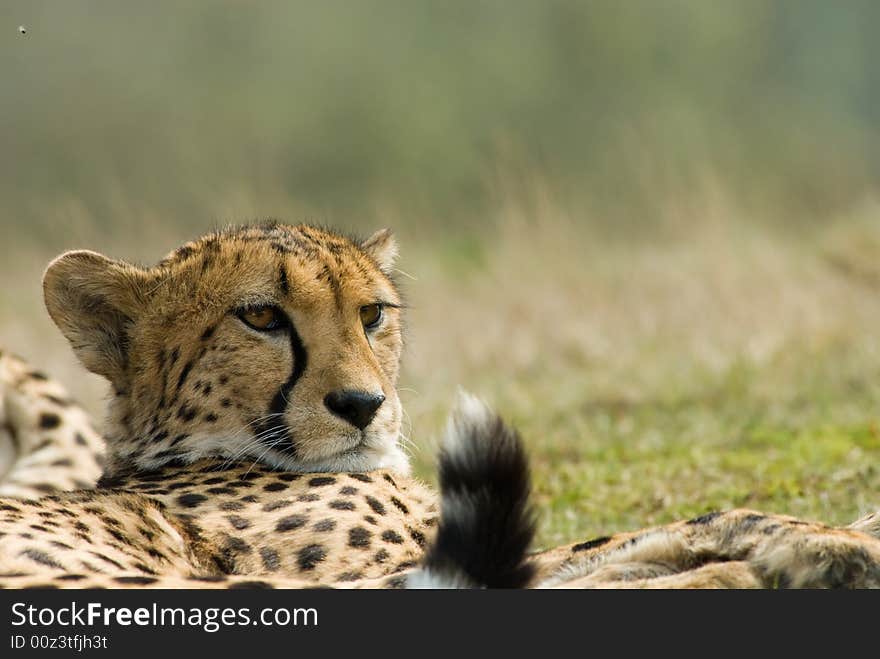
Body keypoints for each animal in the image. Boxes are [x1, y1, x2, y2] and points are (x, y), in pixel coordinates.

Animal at [1, 224, 880, 592]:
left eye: (372, 314)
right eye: (260, 317)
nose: (363, 404)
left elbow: (621, 540)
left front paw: (840, 535)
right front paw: (826, 544)